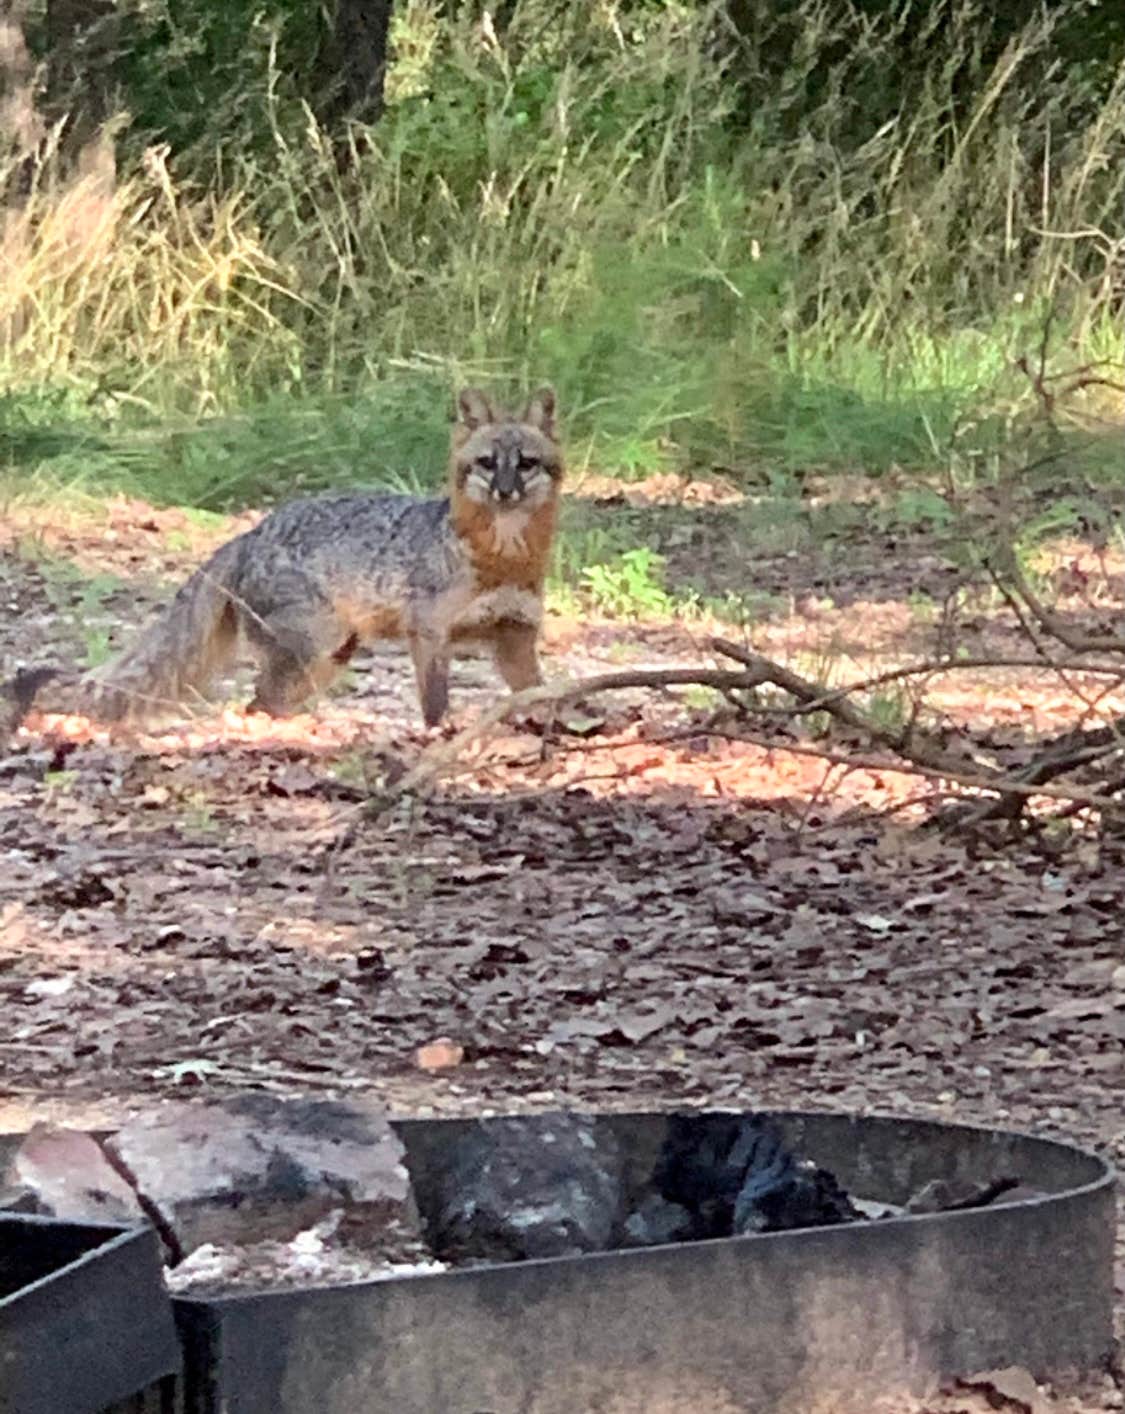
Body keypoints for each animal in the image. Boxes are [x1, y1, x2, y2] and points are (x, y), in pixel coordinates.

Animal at [1, 393, 562, 735]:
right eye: (488, 463)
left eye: (526, 464)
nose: (505, 491)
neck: (503, 560)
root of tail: (250, 532)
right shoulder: (428, 632)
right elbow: (435, 700)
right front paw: (439, 734)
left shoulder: (515, 637)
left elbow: (541, 692)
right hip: (316, 648)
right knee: (257, 702)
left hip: (330, 657)